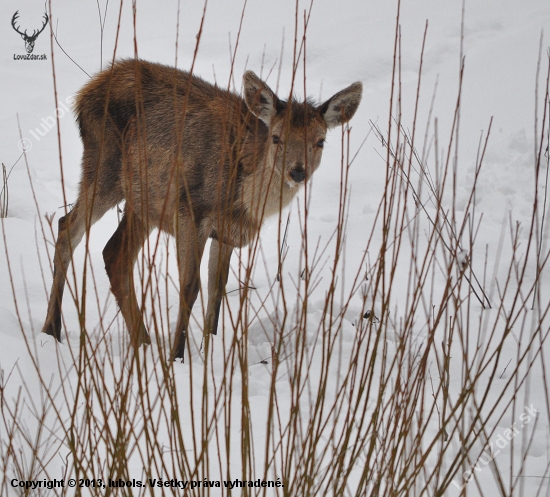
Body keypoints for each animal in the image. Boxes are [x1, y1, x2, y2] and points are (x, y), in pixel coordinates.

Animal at [42, 58, 362, 360]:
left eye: (320, 141)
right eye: (276, 137)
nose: (297, 172)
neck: (241, 196)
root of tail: (84, 94)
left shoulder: (228, 231)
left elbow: (216, 289)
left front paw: (209, 352)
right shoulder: (189, 209)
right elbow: (189, 287)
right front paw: (177, 357)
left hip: (146, 198)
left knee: (115, 253)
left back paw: (142, 341)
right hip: (104, 165)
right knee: (67, 229)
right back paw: (52, 330)